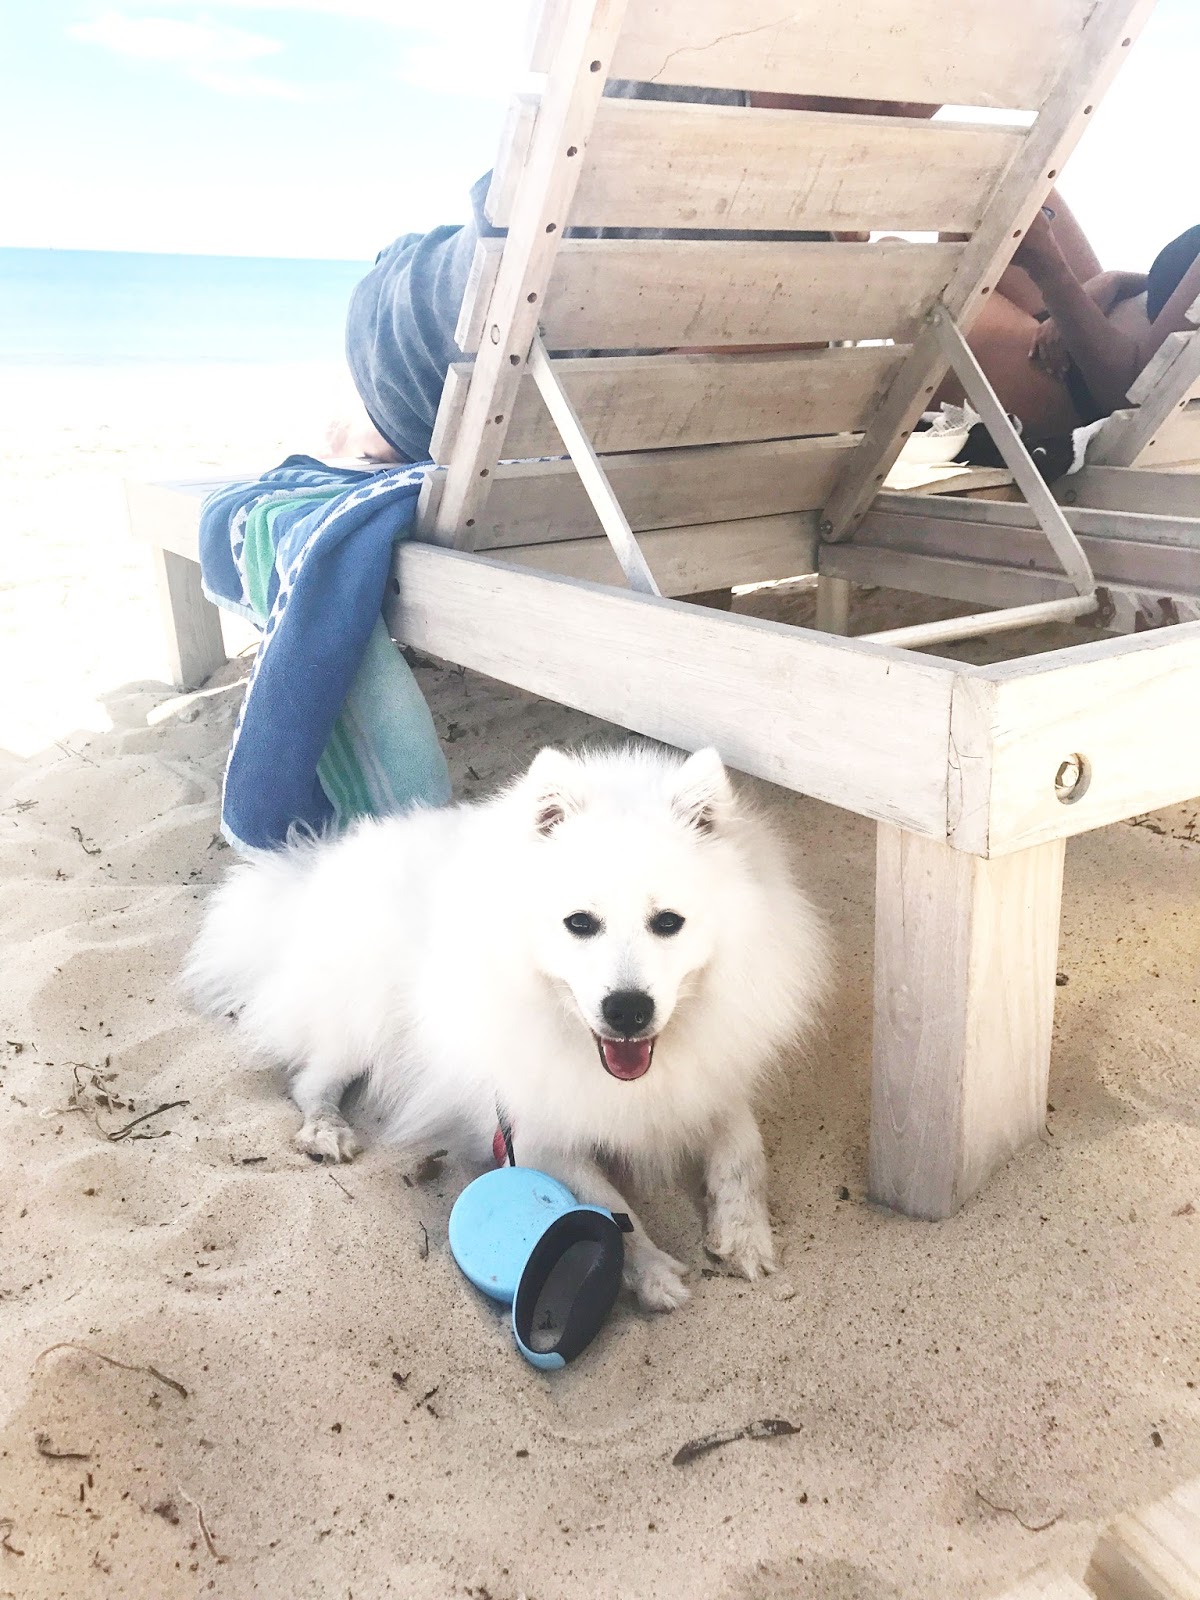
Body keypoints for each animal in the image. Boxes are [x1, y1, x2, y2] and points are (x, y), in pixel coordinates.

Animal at [185, 744, 829, 1311]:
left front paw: (744, 1235)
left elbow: (744, 1151)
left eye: (668, 922)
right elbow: (604, 1203)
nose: (628, 1010)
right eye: (579, 923)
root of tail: (305, 882)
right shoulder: (532, 1128)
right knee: (311, 1081)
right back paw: (326, 1131)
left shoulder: (709, 1081)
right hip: (366, 1016)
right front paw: (651, 1273)